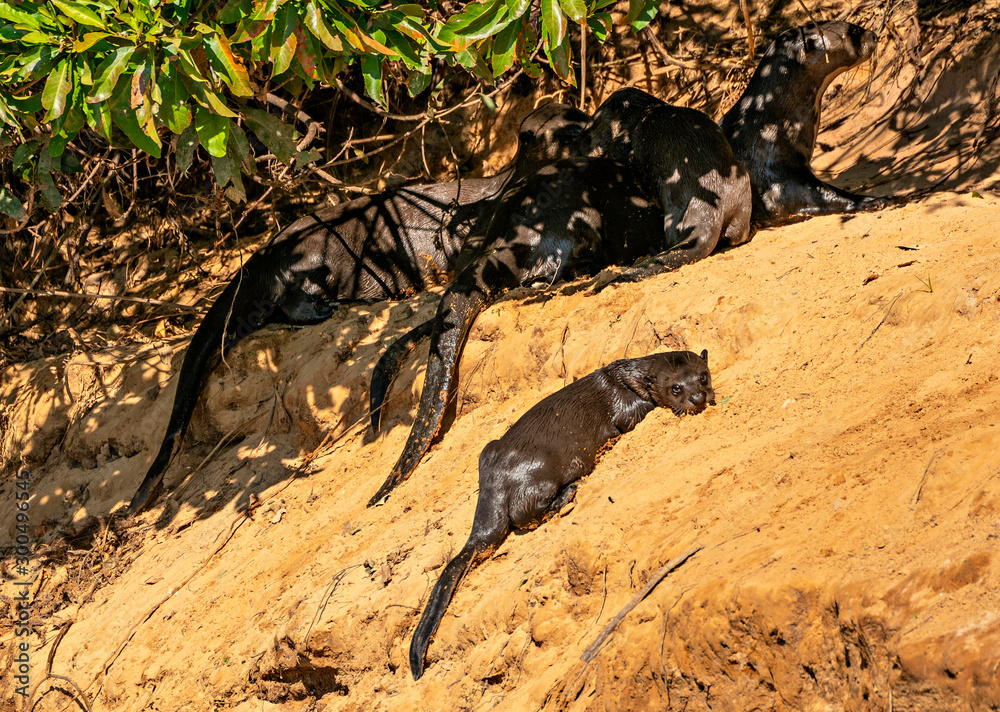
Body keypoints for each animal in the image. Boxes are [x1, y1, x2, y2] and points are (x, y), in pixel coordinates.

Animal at [125, 103, 590, 515]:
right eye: (565, 132)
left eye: (579, 115)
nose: (588, 128)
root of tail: (262, 252)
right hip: (318, 254)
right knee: (287, 297)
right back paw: (324, 308)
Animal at [408, 350, 715, 679]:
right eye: (675, 388)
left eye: (702, 376)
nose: (698, 397)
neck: (624, 380)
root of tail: (496, 476)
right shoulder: (624, 410)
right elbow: (629, 418)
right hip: (541, 475)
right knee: (523, 514)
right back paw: (567, 495)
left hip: (488, 451)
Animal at [720, 21, 896, 227]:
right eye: (853, 31)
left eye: (855, 26)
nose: (874, 35)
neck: (770, 121)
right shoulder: (774, 170)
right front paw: (874, 200)